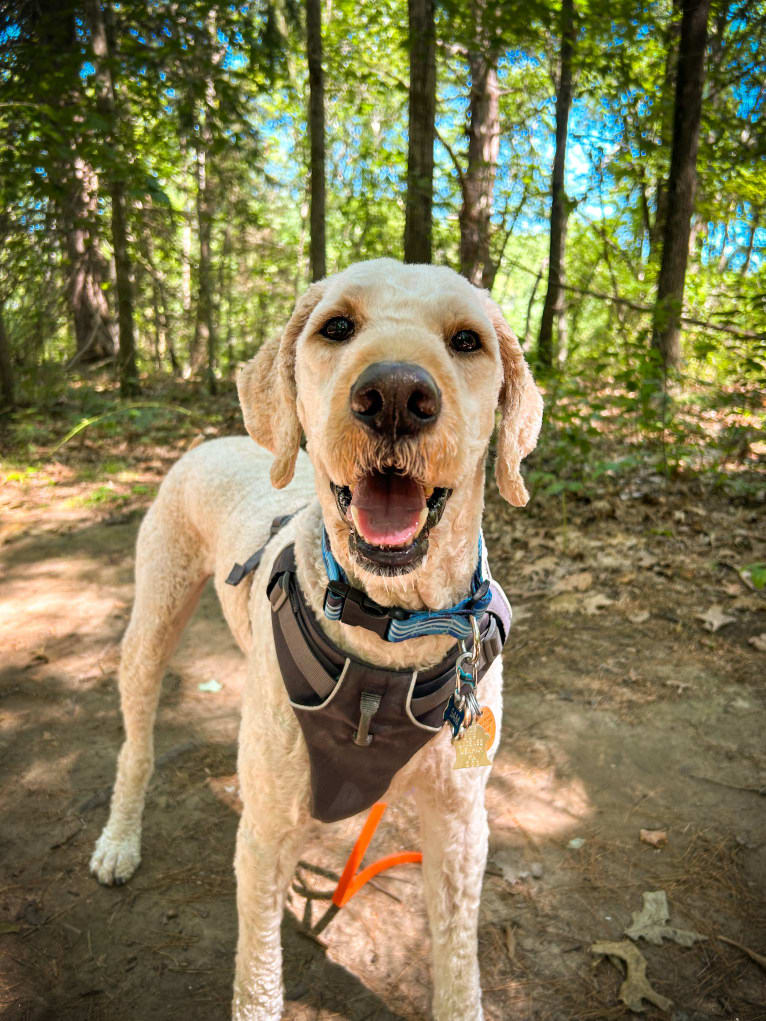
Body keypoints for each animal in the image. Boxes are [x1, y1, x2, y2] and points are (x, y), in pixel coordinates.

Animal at [89, 259, 543, 1016]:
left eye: (467, 340)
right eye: (337, 326)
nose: (396, 396)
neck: (393, 627)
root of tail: (219, 440)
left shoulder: (458, 827)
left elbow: (457, 965)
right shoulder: (264, 834)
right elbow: (258, 973)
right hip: (153, 621)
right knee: (135, 745)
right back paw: (120, 837)